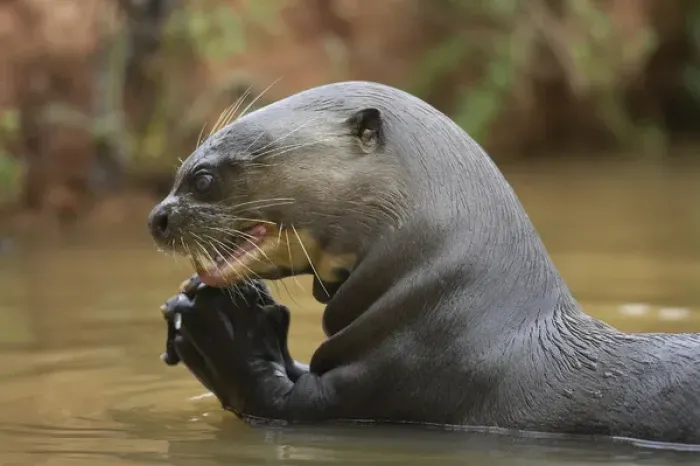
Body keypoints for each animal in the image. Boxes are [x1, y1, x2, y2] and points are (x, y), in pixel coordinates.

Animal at [148, 81, 700, 445]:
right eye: (181, 172)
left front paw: (220, 324)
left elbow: (270, 398)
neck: (457, 314)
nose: (158, 217)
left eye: (204, 178)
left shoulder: (395, 381)